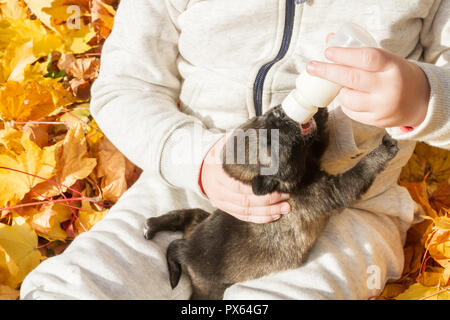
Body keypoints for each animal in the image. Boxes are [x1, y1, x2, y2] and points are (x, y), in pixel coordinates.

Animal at [143, 106, 398, 298]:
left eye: (260, 117)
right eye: (270, 139)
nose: (278, 111)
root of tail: (187, 249)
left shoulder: (312, 155)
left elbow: (319, 139)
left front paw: (319, 112)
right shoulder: (333, 191)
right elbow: (360, 170)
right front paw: (383, 150)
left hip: (199, 220)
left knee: (185, 216)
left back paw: (152, 225)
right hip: (209, 289)